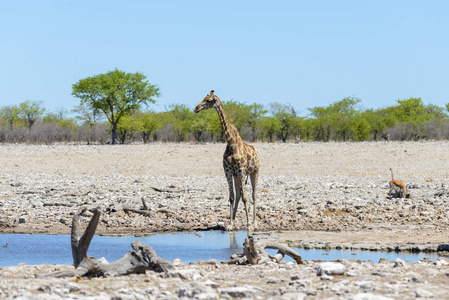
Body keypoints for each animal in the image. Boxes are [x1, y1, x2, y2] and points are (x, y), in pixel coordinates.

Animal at [192, 90, 260, 231]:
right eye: (204, 98)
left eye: (208, 100)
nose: (196, 108)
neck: (231, 143)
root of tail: (255, 150)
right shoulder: (229, 172)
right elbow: (232, 196)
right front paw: (230, 224)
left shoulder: (241, 170)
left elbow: (245, 197)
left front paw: (248, 224)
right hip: (237, 176)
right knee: (238, 194)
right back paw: (235, 221)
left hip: (254, 172)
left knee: (254, 194)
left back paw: (255, 223)